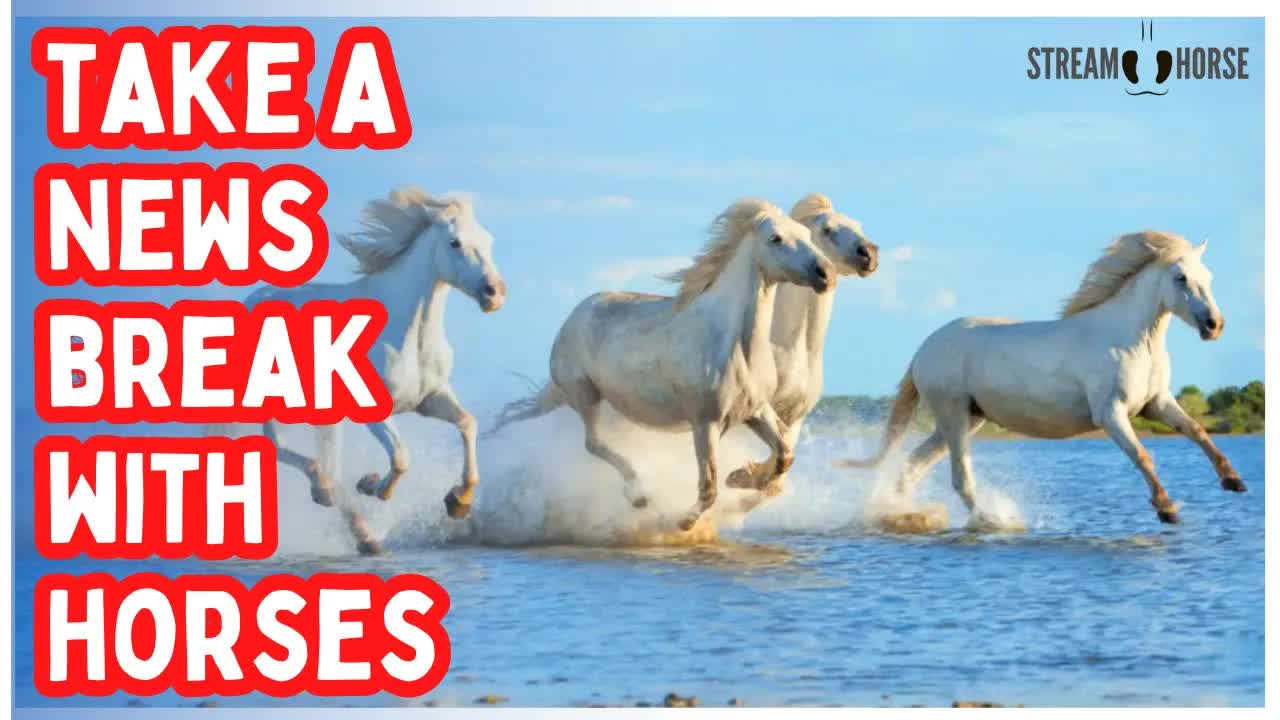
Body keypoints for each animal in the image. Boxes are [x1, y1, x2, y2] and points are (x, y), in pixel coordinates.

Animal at [246, 187, 506, 554]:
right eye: (455, 242)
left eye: (487, 240)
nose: (494, 293)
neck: (408, 334)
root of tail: (255, 297)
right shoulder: (371, 410)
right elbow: (401, 457)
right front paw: (372, 486)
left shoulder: (430, 399)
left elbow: (468, 424)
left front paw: (459, 501)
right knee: (278, 446)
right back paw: (325, 492)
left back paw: (363, 533)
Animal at [490, 199, 833, 531]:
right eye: (775, 239)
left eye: (806, 236)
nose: (824, 273)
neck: (736, 345)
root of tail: (573, 317)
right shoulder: (705, 422)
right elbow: (709, 485)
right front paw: (684, 521)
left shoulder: (756, 411)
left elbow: (784, 454)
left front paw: (742, 477)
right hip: (585, 395)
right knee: (593, 443)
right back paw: (640, 495)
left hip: (584, 399)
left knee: (526, 416)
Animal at [730, 193, 879, 512]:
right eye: (827, 229)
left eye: (858, 225)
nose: (869, 254)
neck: (791, 350)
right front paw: (741, 476)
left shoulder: (796, 416)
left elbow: (780, 463)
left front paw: (746, 477)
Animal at [839, 231, 1244, 527]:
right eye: (1181, 278)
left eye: (1208, 278)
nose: (1215, 325)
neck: (1131, 341)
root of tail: (923, 350)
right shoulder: (1111, 413)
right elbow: (1142, 455)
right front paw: (1167, 509)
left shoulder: (1156, 404)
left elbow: (1198, 431)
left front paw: (1233, 481)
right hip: (953, 417)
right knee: (959, 479)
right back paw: (991, 521)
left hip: (965, 420)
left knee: (912, 467)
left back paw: (901, 513)